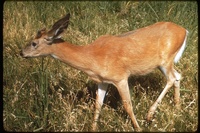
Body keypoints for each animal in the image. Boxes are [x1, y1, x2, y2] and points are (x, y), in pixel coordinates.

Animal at [19, 13, 188, 131]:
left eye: (34, 43)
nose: (21, 53)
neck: (92, 57)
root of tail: (184, 31)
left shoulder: (120, 77)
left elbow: (127, 105)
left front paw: (138, 128)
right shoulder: (102, 81)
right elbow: (97, 105)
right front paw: (92, 128)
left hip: (165, 60)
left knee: (172, 78)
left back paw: (150, 114)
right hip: (165, 63)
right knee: (178, 76)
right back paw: (177, 108)